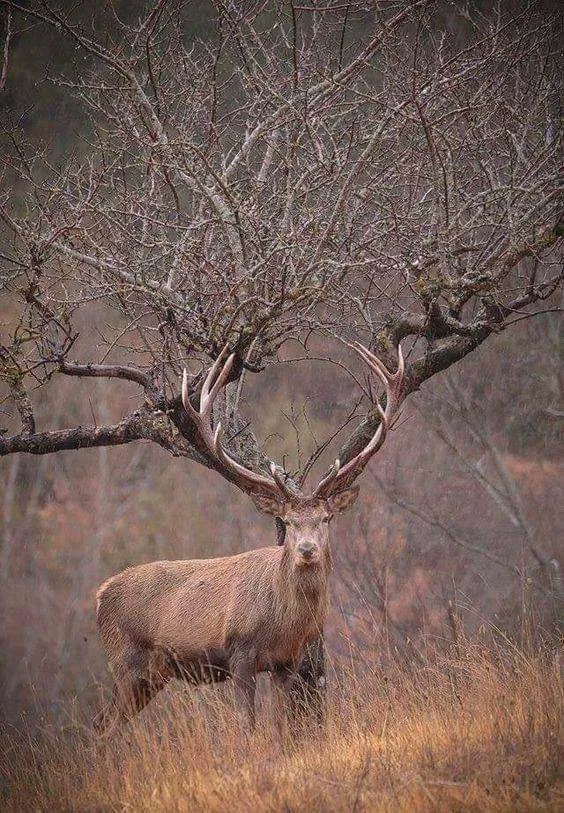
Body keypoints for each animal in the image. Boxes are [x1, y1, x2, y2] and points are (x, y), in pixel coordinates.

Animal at [94, 342, 405, 732]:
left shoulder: (286, 662)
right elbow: (249, 725)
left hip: (149, 675)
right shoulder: (238, 654)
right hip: (126, 661)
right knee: (105, 726)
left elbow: (282, 724)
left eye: (326, 518)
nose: (307, 549)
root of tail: (100, 595)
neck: (284, 623)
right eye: (286, 521)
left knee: (103, 724)